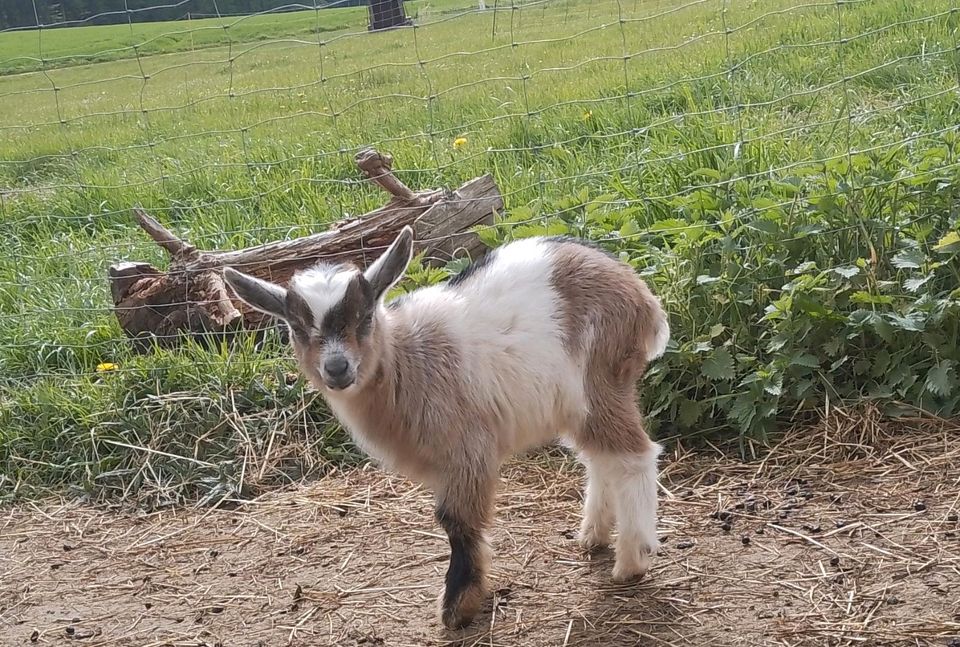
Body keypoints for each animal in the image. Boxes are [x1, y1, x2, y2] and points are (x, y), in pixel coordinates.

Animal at [224, 228, 668, 628]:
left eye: (365, 317)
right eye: (297, 329)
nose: (337, 368)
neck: (404, 360)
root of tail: (641, 296)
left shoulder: (466, 450)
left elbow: (455, 520)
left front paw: (458, 607)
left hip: (598, 380)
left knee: (633, 456)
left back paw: (631, 561)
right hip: (579, 402)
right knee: (599, 459)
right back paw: (593, 535)